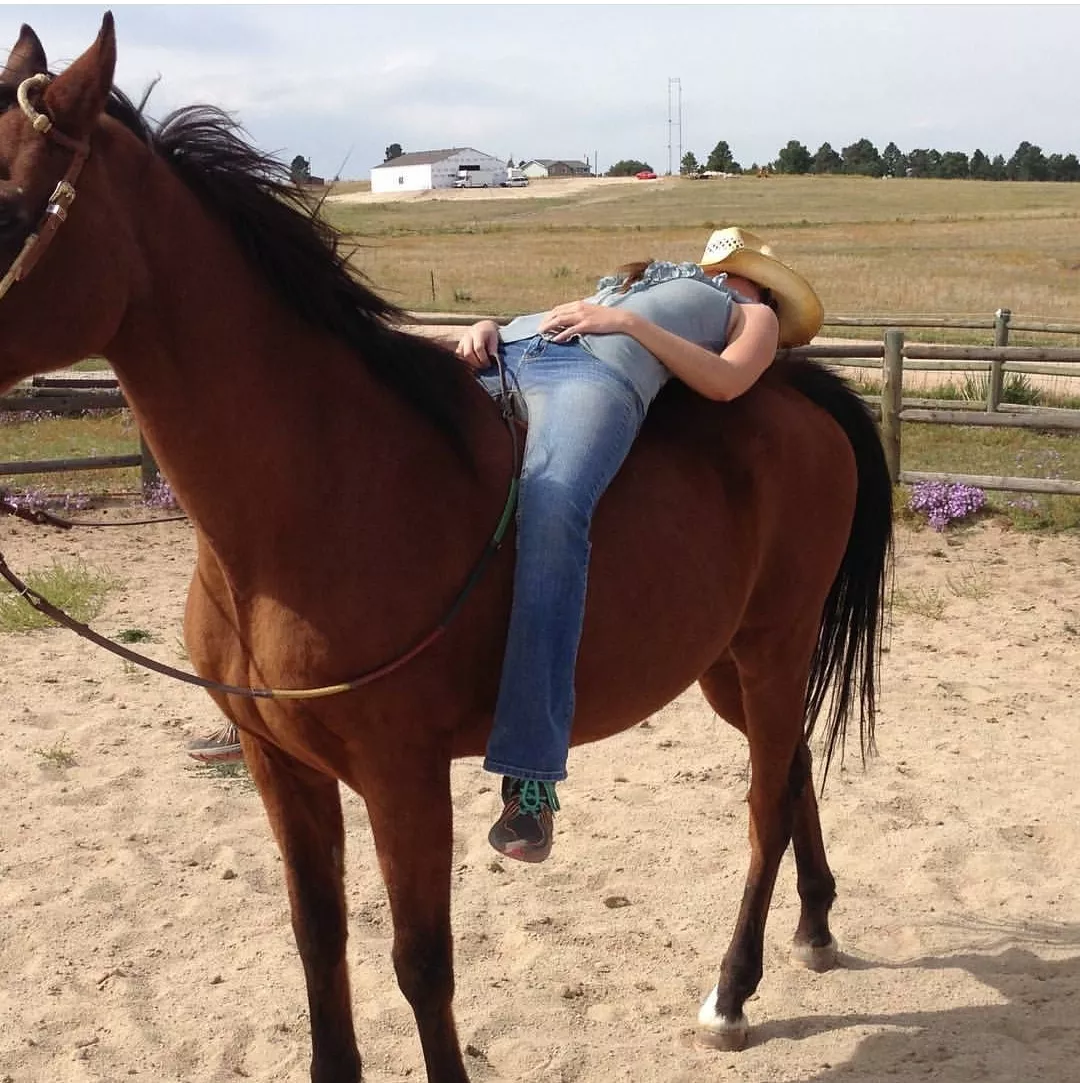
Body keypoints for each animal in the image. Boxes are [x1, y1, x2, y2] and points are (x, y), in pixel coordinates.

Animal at [0, 15, 892, 1082]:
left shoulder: (403, 777)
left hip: (772, 647)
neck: (318, 496)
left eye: (8, 206)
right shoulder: (279, 765)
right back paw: (814, 926)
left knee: (762, 804)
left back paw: (731, 991)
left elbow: (421, 961)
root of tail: (800, 392)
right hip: (727, 665)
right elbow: (318, 938)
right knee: (791, 770)